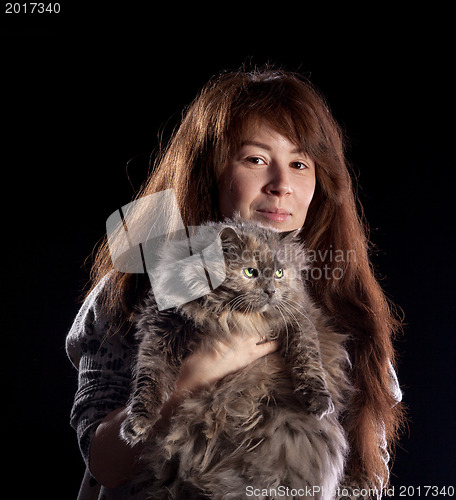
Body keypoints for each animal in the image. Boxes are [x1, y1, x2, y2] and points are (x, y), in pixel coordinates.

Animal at [119, 219, 350, 500]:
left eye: (279, 273)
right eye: (250, 272)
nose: (271, 291)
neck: (228, 314)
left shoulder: (298, 320)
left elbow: (308, 359)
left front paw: (318, 401)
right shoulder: (162, 329)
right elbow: (150, 381)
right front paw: (137, 424)